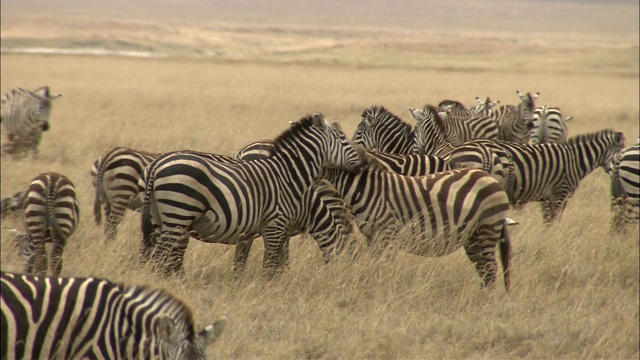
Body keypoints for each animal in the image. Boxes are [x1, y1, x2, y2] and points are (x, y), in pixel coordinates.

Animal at [139, 114, 364, 274]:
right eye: (343, 140)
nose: (362, 165)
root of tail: (156, 164)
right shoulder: (276, 225)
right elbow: (271, 263)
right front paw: (271, 287)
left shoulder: (251, 230)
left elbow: (243, 261)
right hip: (179, 212)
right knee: (160, 256)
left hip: (160, 217)